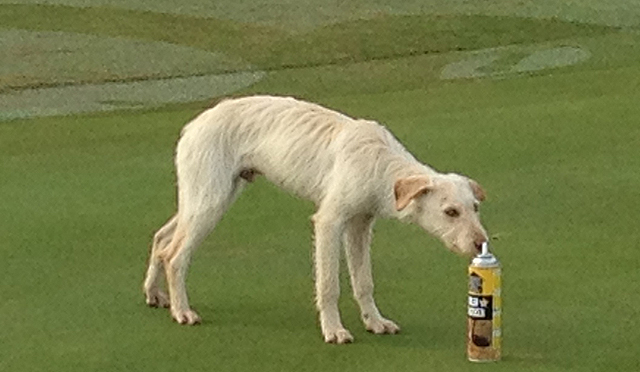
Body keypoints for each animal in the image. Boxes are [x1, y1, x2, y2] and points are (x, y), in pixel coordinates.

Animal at [142, 95, 488, 342]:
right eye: (450, 212)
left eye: (475, 207)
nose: (481, 243)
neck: (380, 163)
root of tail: (193, 125)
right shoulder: (329, 223)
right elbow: (329, 284)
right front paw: (333, 329)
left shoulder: (360, 226)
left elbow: (364, 282)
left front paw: (374, 321)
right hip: (209, 203)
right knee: (174, 256)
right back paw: (182, 311)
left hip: (208, 199)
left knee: (161, 238)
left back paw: (154, 293)